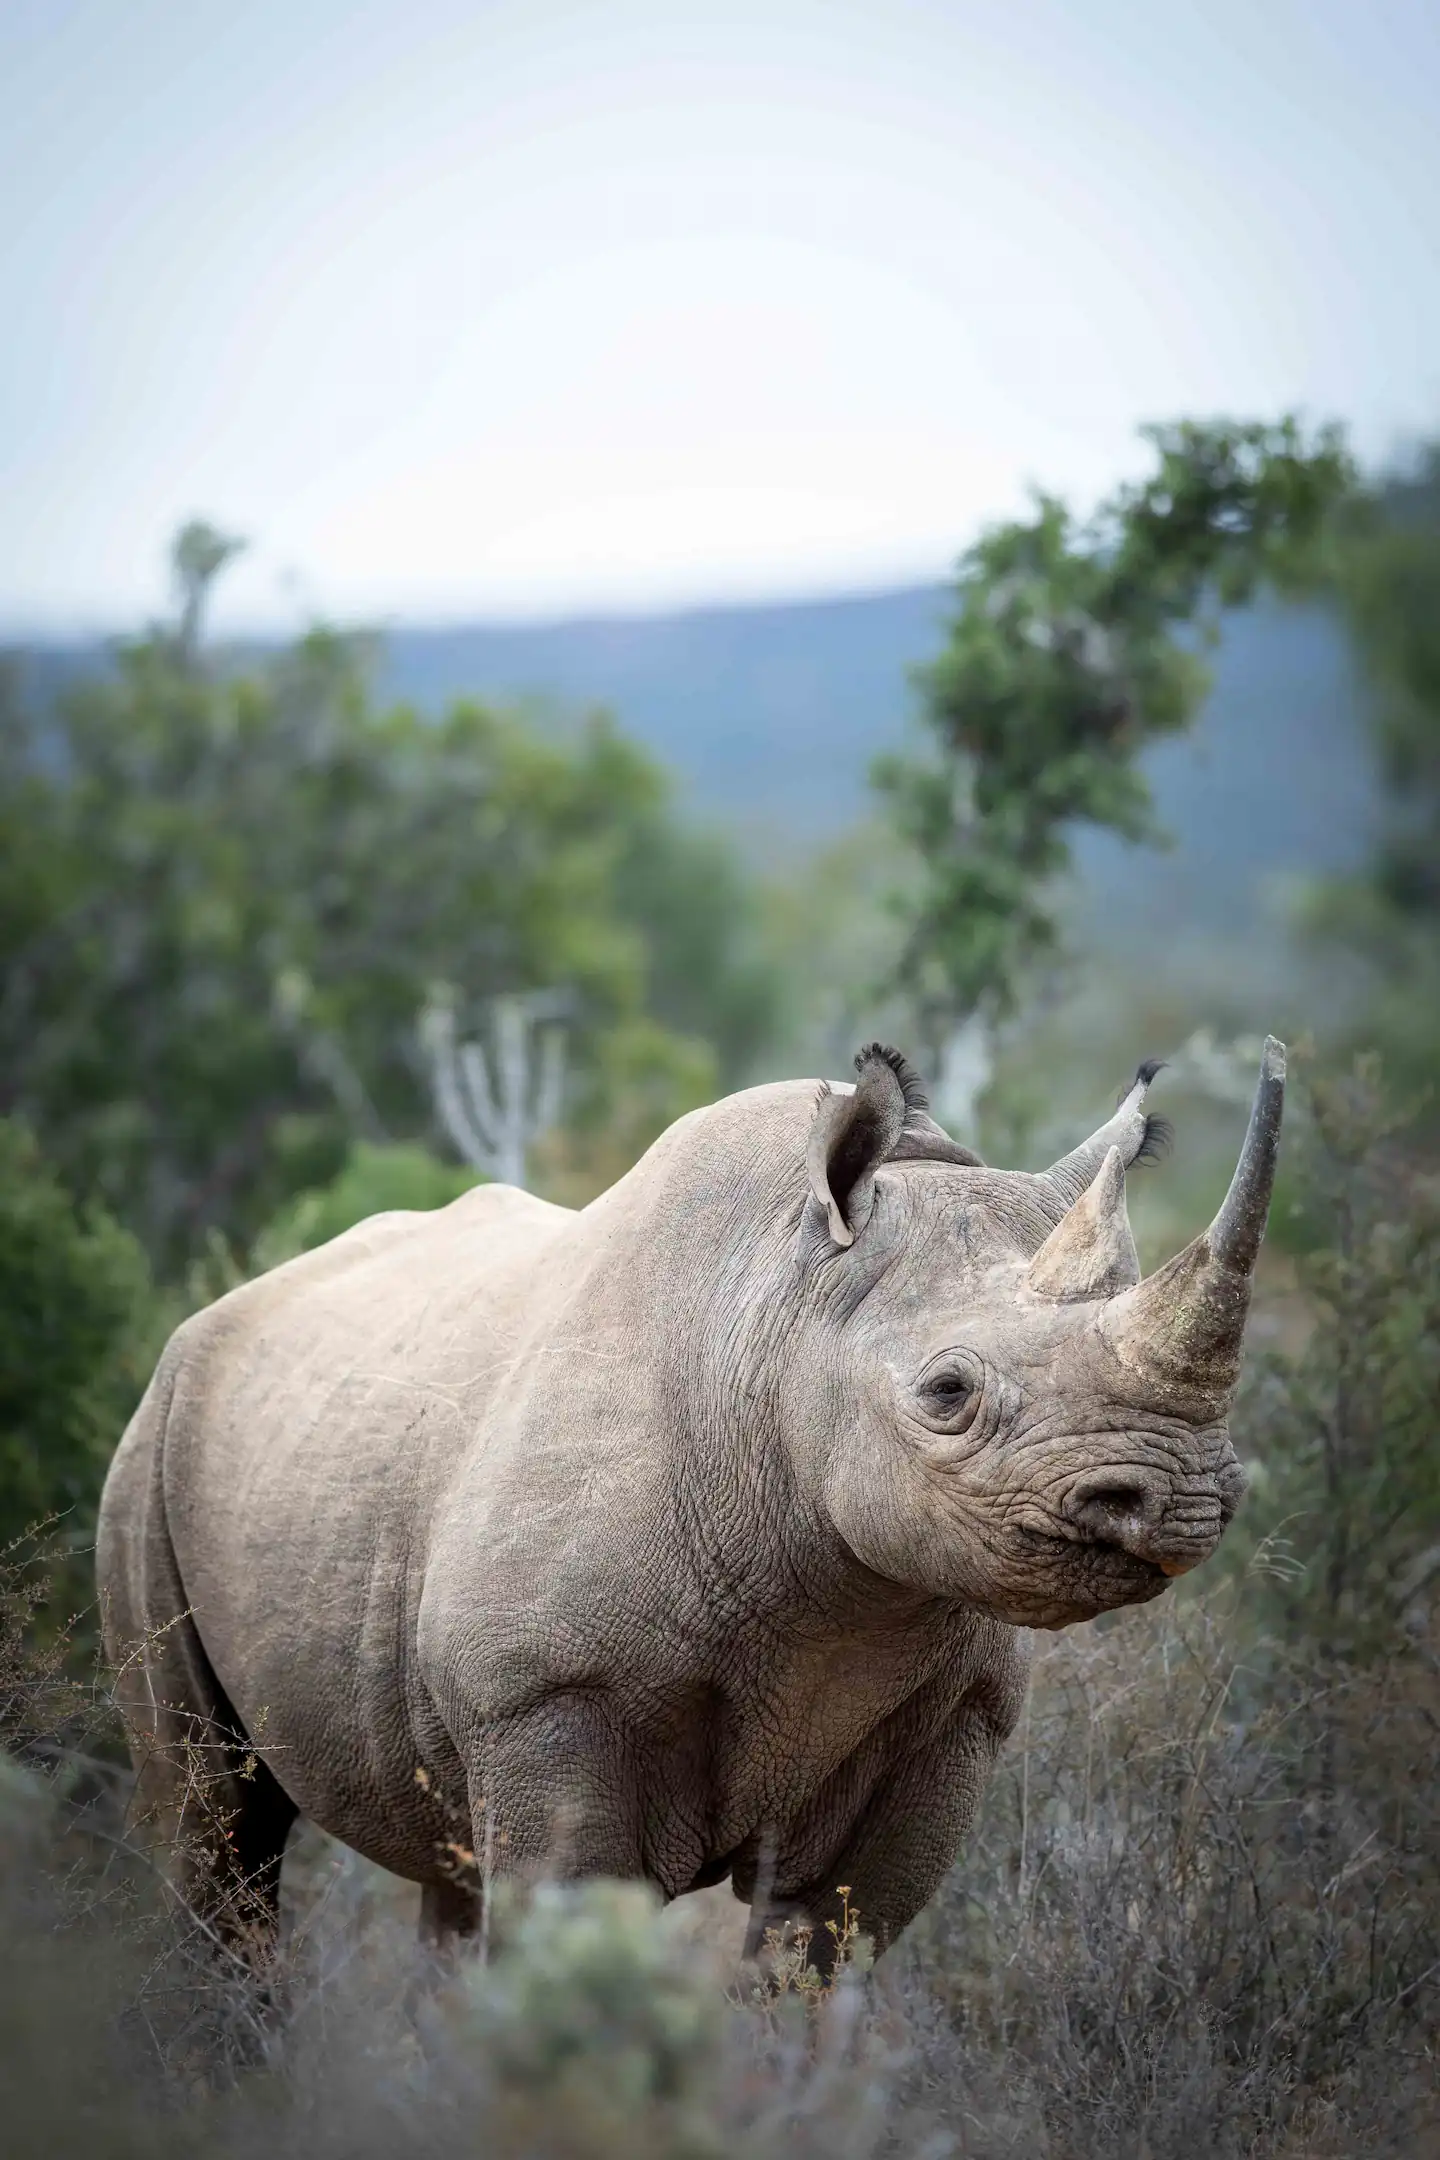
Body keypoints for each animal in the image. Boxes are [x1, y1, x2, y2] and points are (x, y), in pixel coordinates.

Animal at [97, 1037, 1284, 1966]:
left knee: (444, 1877)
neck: (782, 1314)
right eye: (947, 1395)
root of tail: (220, 1312)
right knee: (214, 1822)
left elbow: (815, 1965)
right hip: (154, 1435)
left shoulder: (946, 1724)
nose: (1179, 1497)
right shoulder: (543, 1697)